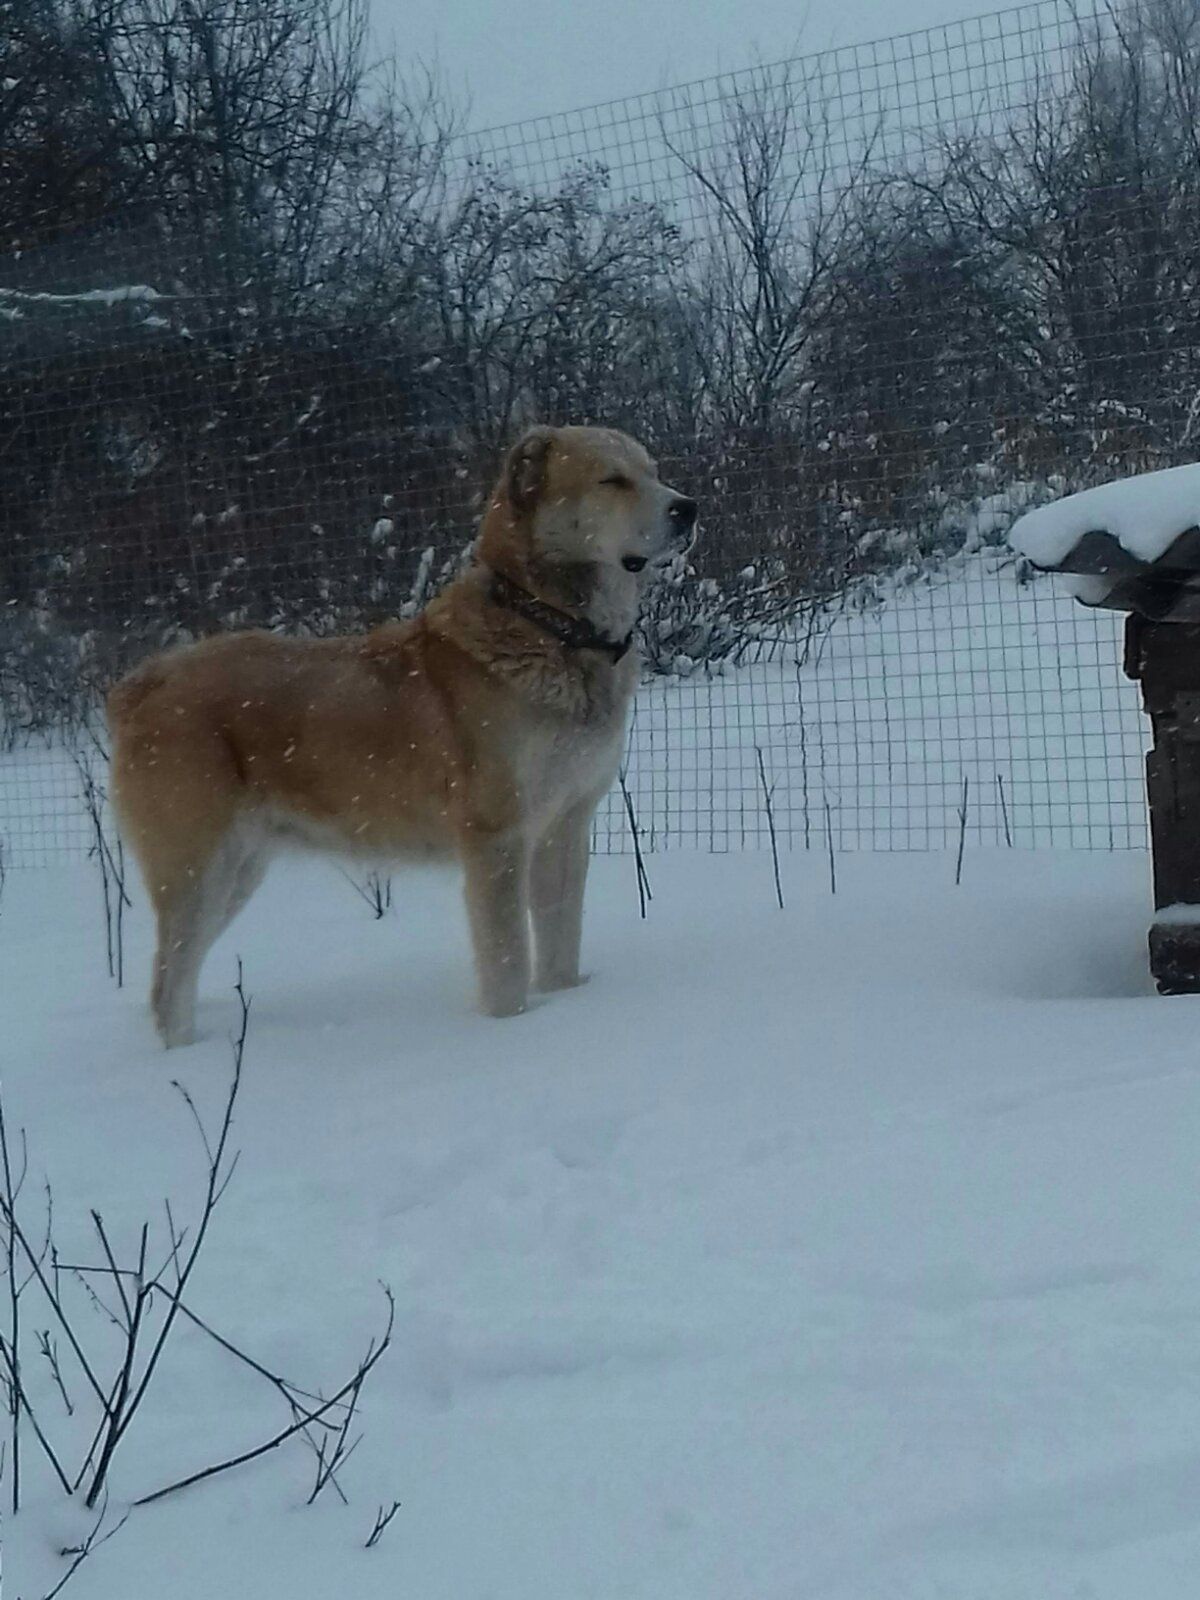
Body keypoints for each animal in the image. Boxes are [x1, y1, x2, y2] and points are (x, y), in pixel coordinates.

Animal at [108, 428, 700, 1049]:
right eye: (612, 479)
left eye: (653, 471)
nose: (688, 508)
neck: (547, 625)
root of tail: (142, 684)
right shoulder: (496, 837)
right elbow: (508, 958)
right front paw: (511, 1029)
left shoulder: (565, 825)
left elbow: (561, 940)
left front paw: (565, 1002)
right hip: (198, 869)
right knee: (168, 984)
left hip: (238, 872)